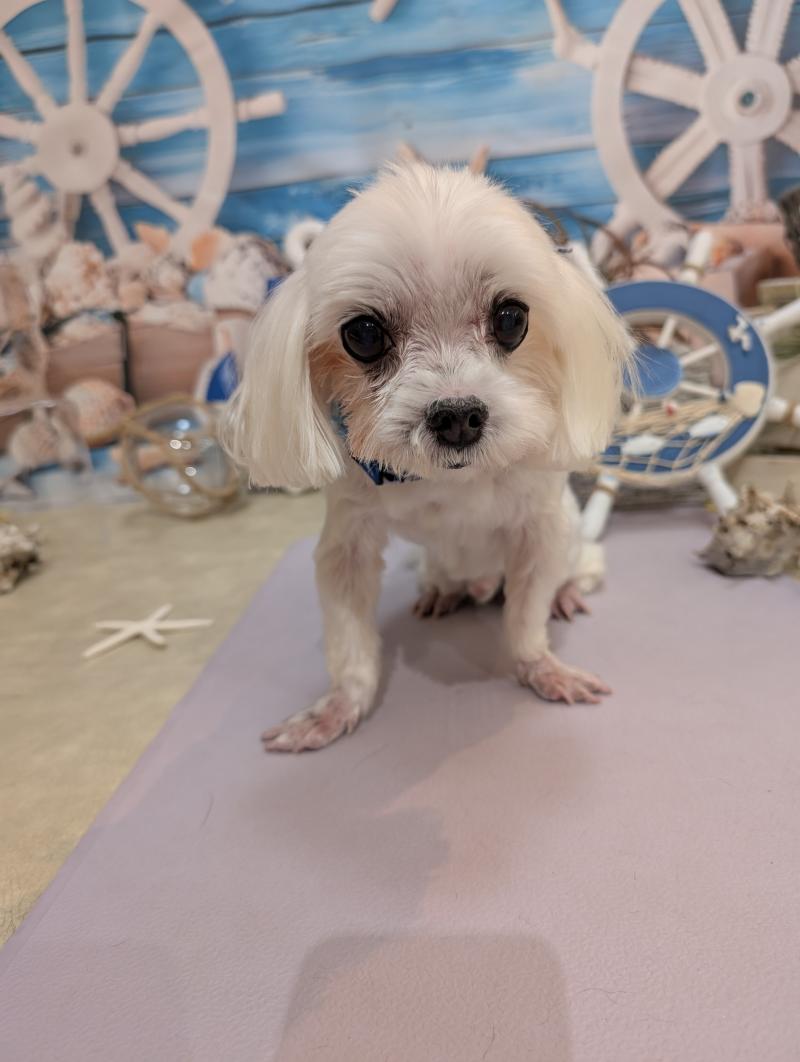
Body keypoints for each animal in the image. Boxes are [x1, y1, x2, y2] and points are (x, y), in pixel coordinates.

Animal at [222, 163, 634, 752]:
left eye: (511, 319)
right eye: (363, 334)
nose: (457, 415)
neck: (449, 483)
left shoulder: (541, 533)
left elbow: (526, 617)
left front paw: (542, 668)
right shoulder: (346, 543)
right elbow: (349, 640)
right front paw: (336, 707)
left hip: (578, 547)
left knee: (577, 570)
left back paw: (567, 594)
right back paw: (445, 592)